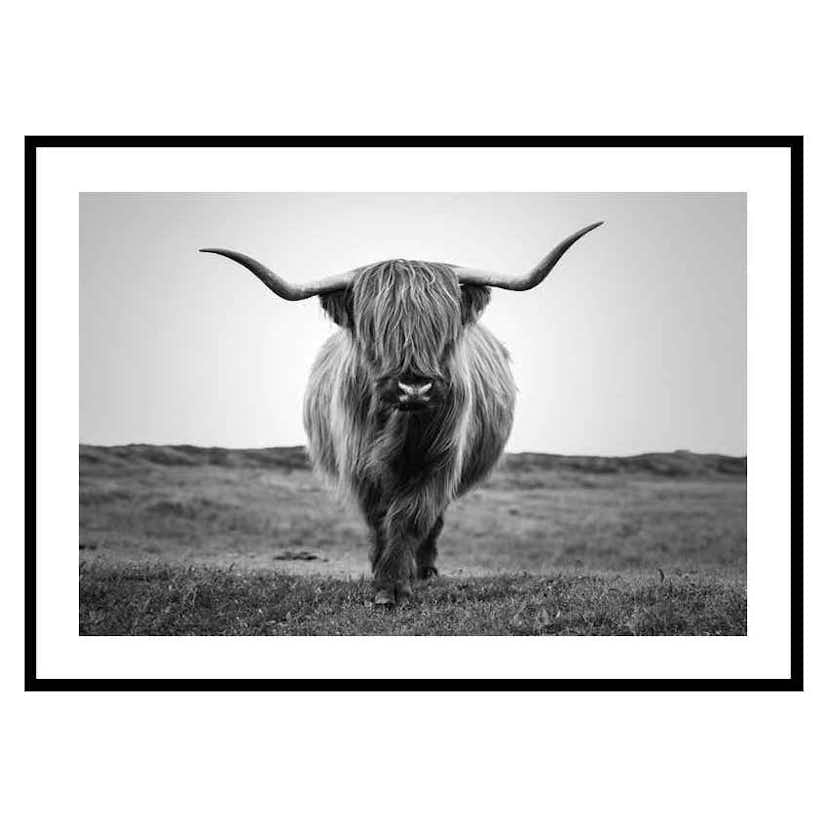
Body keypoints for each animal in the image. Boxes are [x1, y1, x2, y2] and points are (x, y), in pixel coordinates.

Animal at [200, 221, 602, 605]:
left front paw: (394, 585)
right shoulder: (360, 465)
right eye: (375, 330)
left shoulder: (439, 461)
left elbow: (411, 517)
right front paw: (382, 577)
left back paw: (424, 570)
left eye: (442, 329)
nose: (414, 388)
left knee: (434, 521)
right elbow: (379, 519)